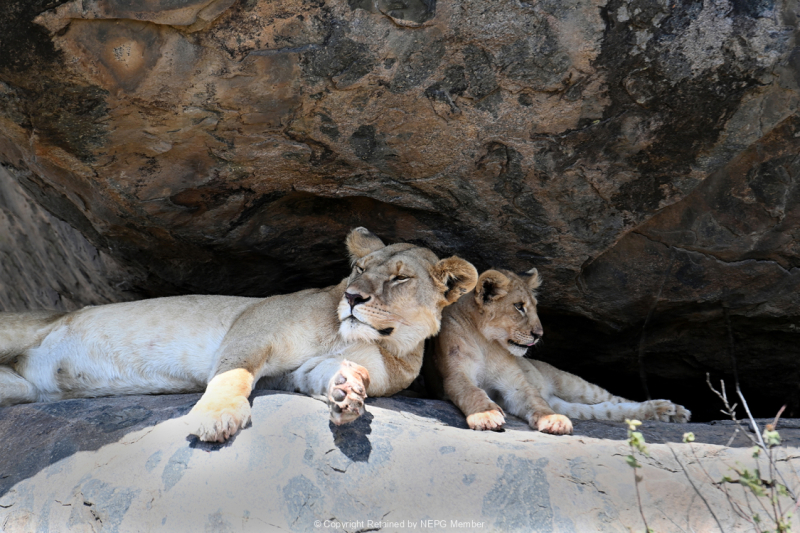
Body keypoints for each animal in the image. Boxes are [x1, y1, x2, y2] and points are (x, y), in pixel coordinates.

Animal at [0, 227, 478, 442]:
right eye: (359, 269)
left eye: (399, 278)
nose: (352, 296)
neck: (380, 339)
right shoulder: (253, 322)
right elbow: (234, 375)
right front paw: (217, 417)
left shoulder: (298, 372)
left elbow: (323, 375)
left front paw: (347, 391)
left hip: (20, 388)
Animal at [430, 268, 690, 434]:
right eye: (519, 307)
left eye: (535, 307)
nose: (539, 334)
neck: (486, 341)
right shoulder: (454, 376)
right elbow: (472, 392)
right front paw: (486, 415)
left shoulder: (515, 384)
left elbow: (535, 401)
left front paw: (552, 421)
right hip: (569, 402)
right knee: (605, 411)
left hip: (573, 384)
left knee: (615, 400)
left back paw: (671, 409)